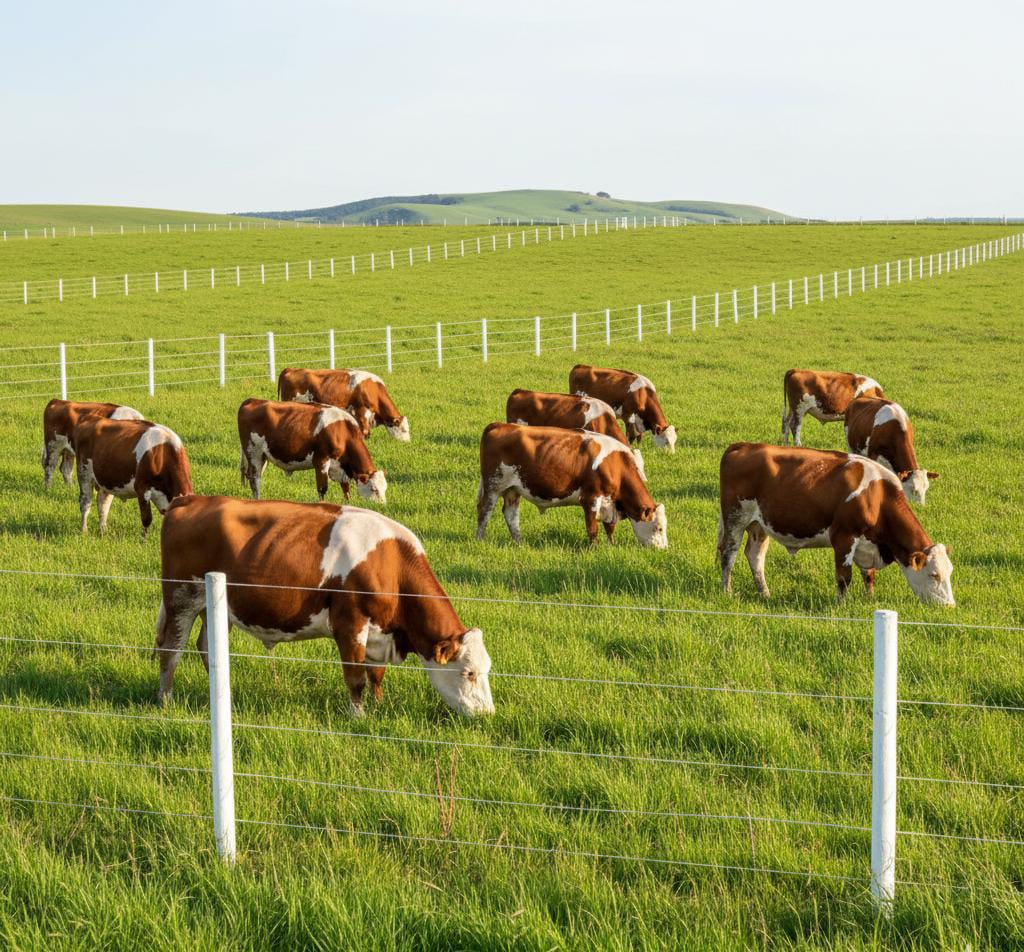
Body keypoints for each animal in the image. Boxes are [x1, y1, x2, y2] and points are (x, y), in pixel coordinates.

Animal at [156, 495, 494, 717]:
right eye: (469, 673)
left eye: (486, 669)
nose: (487, 713)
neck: (392, 563)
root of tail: (190, 500)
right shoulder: (350, 624)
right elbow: (355, 677)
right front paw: (359, 717)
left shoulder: (379, 632)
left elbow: (376, 674)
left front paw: (379, 706)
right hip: (181, 598)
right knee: (171, 649)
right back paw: (165, 700)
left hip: (215, 607)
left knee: (205, 647)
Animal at [237, 398, 386, 504]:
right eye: (374, 489)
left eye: (385, 488)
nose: (382, 506)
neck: (343, 431)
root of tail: (252, 400)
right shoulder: (321, 460)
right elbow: (322, 489)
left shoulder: (341, 467)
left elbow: (346, 488)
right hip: (253, 452)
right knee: (255, 479)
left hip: (263, 456)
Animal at [476, 422, 668, 548]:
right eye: (658, 528)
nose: (663, 549)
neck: (616, 465)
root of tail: (498, 425)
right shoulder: (590, 498)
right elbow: (592, 527)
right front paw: (594, 548)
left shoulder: (609, 502)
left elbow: (609, 527)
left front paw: (611, 545)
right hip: (494, 485)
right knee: (485, 511)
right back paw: (480, 538)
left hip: (513, 489)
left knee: (511, 514)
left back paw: (519, 542)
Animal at [717, 442, 954, 605]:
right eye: (934, 574)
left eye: (949, 572)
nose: (949, 606)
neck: (877, 495)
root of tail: (742, 446)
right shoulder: (844, 537)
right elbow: (844, 577)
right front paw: (841, 606)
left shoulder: (867, 544)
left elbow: (869, 575)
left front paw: (870, 599)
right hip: (735, 518)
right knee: (728, 555)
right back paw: (727, 592)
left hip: (759, 525)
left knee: (755, 556)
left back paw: (765, 593)